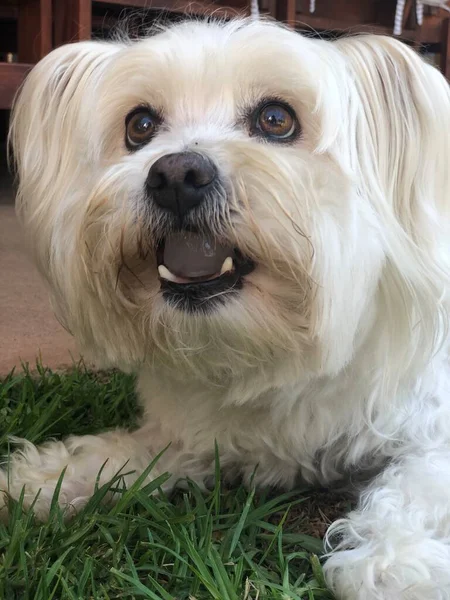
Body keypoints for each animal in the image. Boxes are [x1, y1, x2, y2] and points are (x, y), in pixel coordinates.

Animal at [2, 17, 450, 600]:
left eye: (276, 119)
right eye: (140, 125)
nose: (175, 175)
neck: (273, 348)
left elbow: (416, 490)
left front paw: (392, 565)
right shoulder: (196, 432)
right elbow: (140, 453)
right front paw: (51, 474)